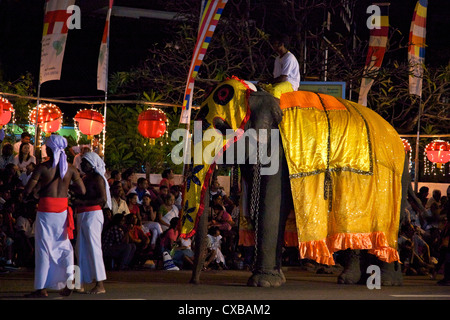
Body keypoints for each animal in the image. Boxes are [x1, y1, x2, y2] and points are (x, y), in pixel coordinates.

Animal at [178, 76, 418, 286]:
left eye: (221, 126)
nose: (194, 281)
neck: (261, 93)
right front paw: (276, 279)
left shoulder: (279, 152)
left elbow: (272, 205)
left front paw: (263, 283)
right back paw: (354, 280)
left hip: (395, 177)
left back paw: (386, 281)